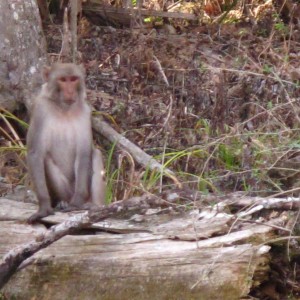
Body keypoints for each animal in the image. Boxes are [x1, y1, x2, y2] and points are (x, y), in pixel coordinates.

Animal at [26, 63, 105, 223]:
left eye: (73, 79)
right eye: (63, 80)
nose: (69, 91)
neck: (64, 109)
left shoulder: (85, 112)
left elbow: (84, 153)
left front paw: (76, 203)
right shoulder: (40, 109)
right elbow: (35, 153)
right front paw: (44, 208)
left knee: (96, 153)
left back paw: (93, 204)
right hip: (67, 191)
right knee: (46, 158)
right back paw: (62, 202)